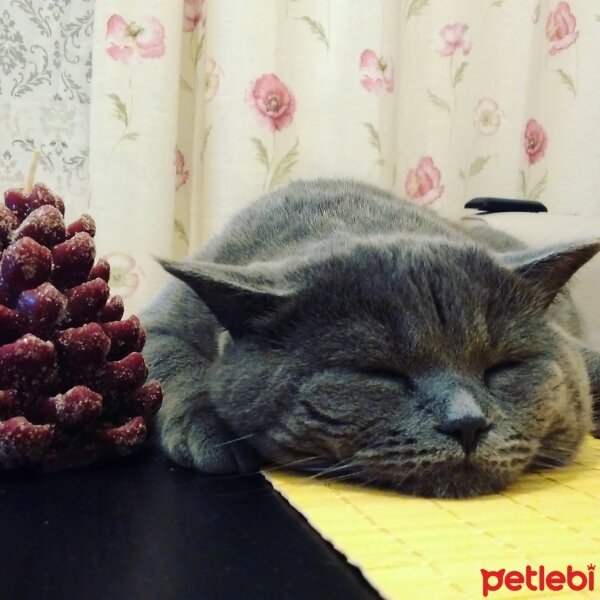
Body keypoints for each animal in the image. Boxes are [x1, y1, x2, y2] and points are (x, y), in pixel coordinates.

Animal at [142, 178, 600, 496]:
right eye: (379, 373)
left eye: (503, 367)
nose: (467, 423)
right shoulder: (156, 322)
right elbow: (170, 358)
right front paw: (210, 429)